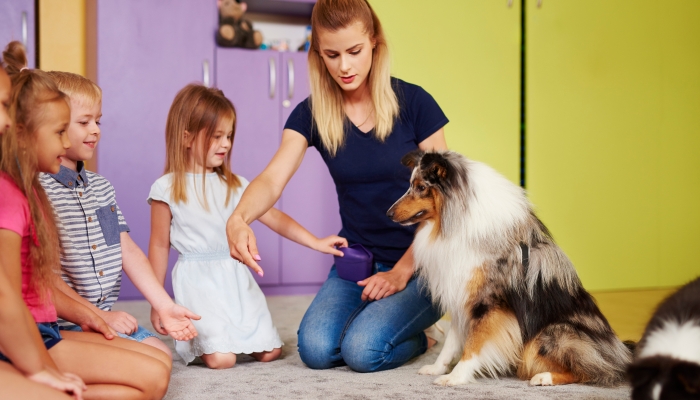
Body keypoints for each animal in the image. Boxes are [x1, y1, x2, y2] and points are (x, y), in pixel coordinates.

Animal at [386, 151, 632, 388]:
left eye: (421, 187)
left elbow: (473, 344)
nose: (388, 213)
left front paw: (455, 377)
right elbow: (451, 343)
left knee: (593, 371)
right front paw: (437, 368)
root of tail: (621, 354)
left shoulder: (487, 304)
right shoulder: (460, 296)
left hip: (551, 334)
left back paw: (545, 377)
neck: (455, 222)